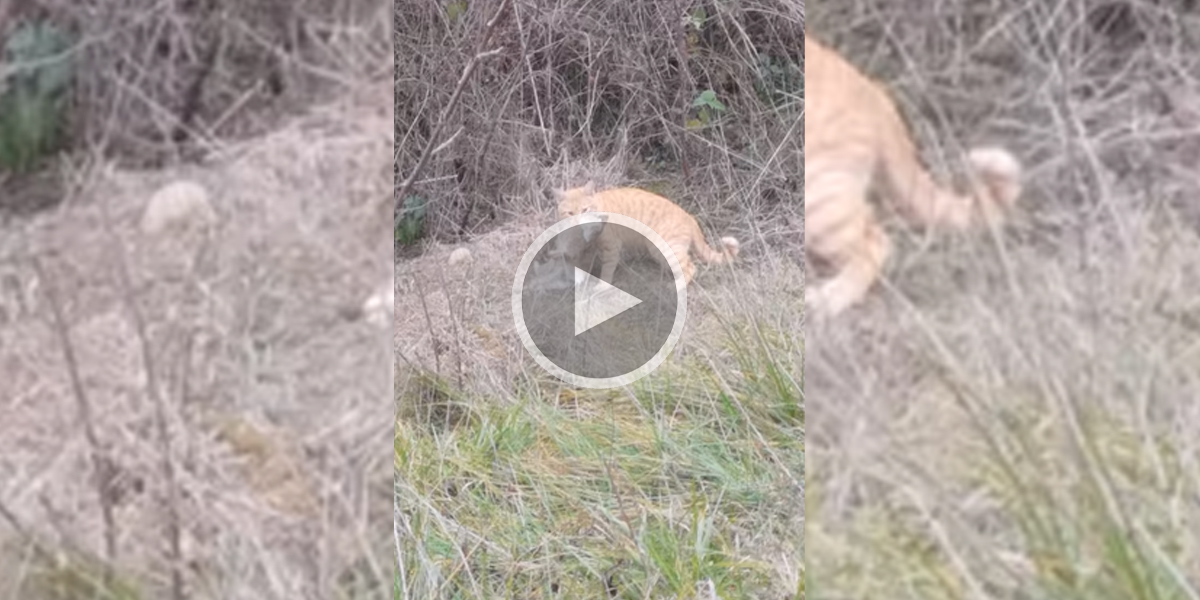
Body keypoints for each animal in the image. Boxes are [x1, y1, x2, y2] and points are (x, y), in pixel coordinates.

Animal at [549, 181, 734, 284]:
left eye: (585, 209)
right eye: (570, 213)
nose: (579, 222)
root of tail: (690, 217)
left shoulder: (611, 247)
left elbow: (607, 270)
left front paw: (601, 286)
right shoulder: (587, 249)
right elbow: (579, 263)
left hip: (665, 247)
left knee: (690, 267)